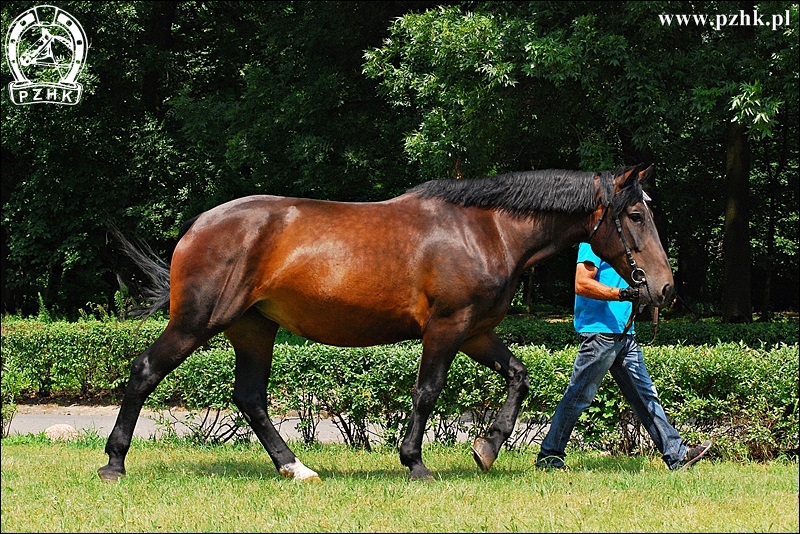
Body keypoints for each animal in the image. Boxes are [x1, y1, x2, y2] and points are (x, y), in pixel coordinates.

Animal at [100, 161, 676, 484]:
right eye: (635, 216)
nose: (664, 287)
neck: (486, 230)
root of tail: (198, 226)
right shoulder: (446, 329)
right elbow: (427, 391)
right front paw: (416, 462)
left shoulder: (475, 332)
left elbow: (518, 375)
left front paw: (487, 447)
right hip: (198, 322)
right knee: (145, 370)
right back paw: (114, 462)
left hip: (253, 329)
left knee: (250, 399)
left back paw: (296, 468)